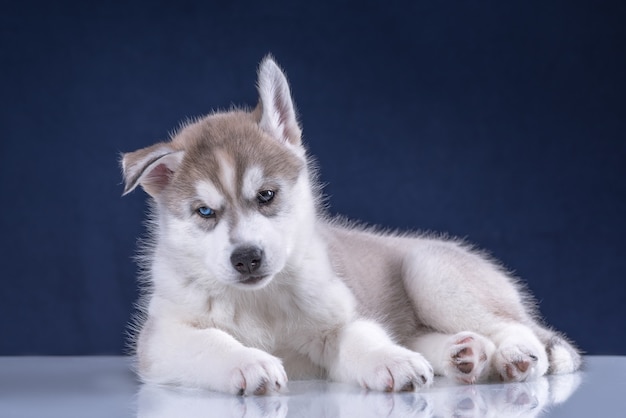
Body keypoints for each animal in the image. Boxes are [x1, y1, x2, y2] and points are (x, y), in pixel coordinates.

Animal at [122, 55, 580, 396]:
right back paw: (465, 354)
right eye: (204, 212)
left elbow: (363, 338)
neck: (261, 301)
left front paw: (390, 360)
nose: (247, 258)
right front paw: (249, 362)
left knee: (520, 328)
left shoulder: (340, 321)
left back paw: (514, 355)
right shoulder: (161, 339)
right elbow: (211, 342)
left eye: (266, 195)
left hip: (429, 270)